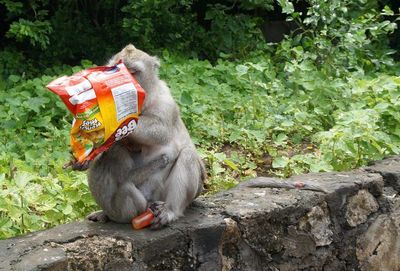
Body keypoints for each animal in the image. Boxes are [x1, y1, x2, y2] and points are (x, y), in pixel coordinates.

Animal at [85, 44, 206, 230]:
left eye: (133, 71)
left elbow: (160, 130)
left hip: (163, 195)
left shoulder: (165, 101)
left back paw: (170, 210)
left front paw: (116, 121)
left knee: (188, 155)